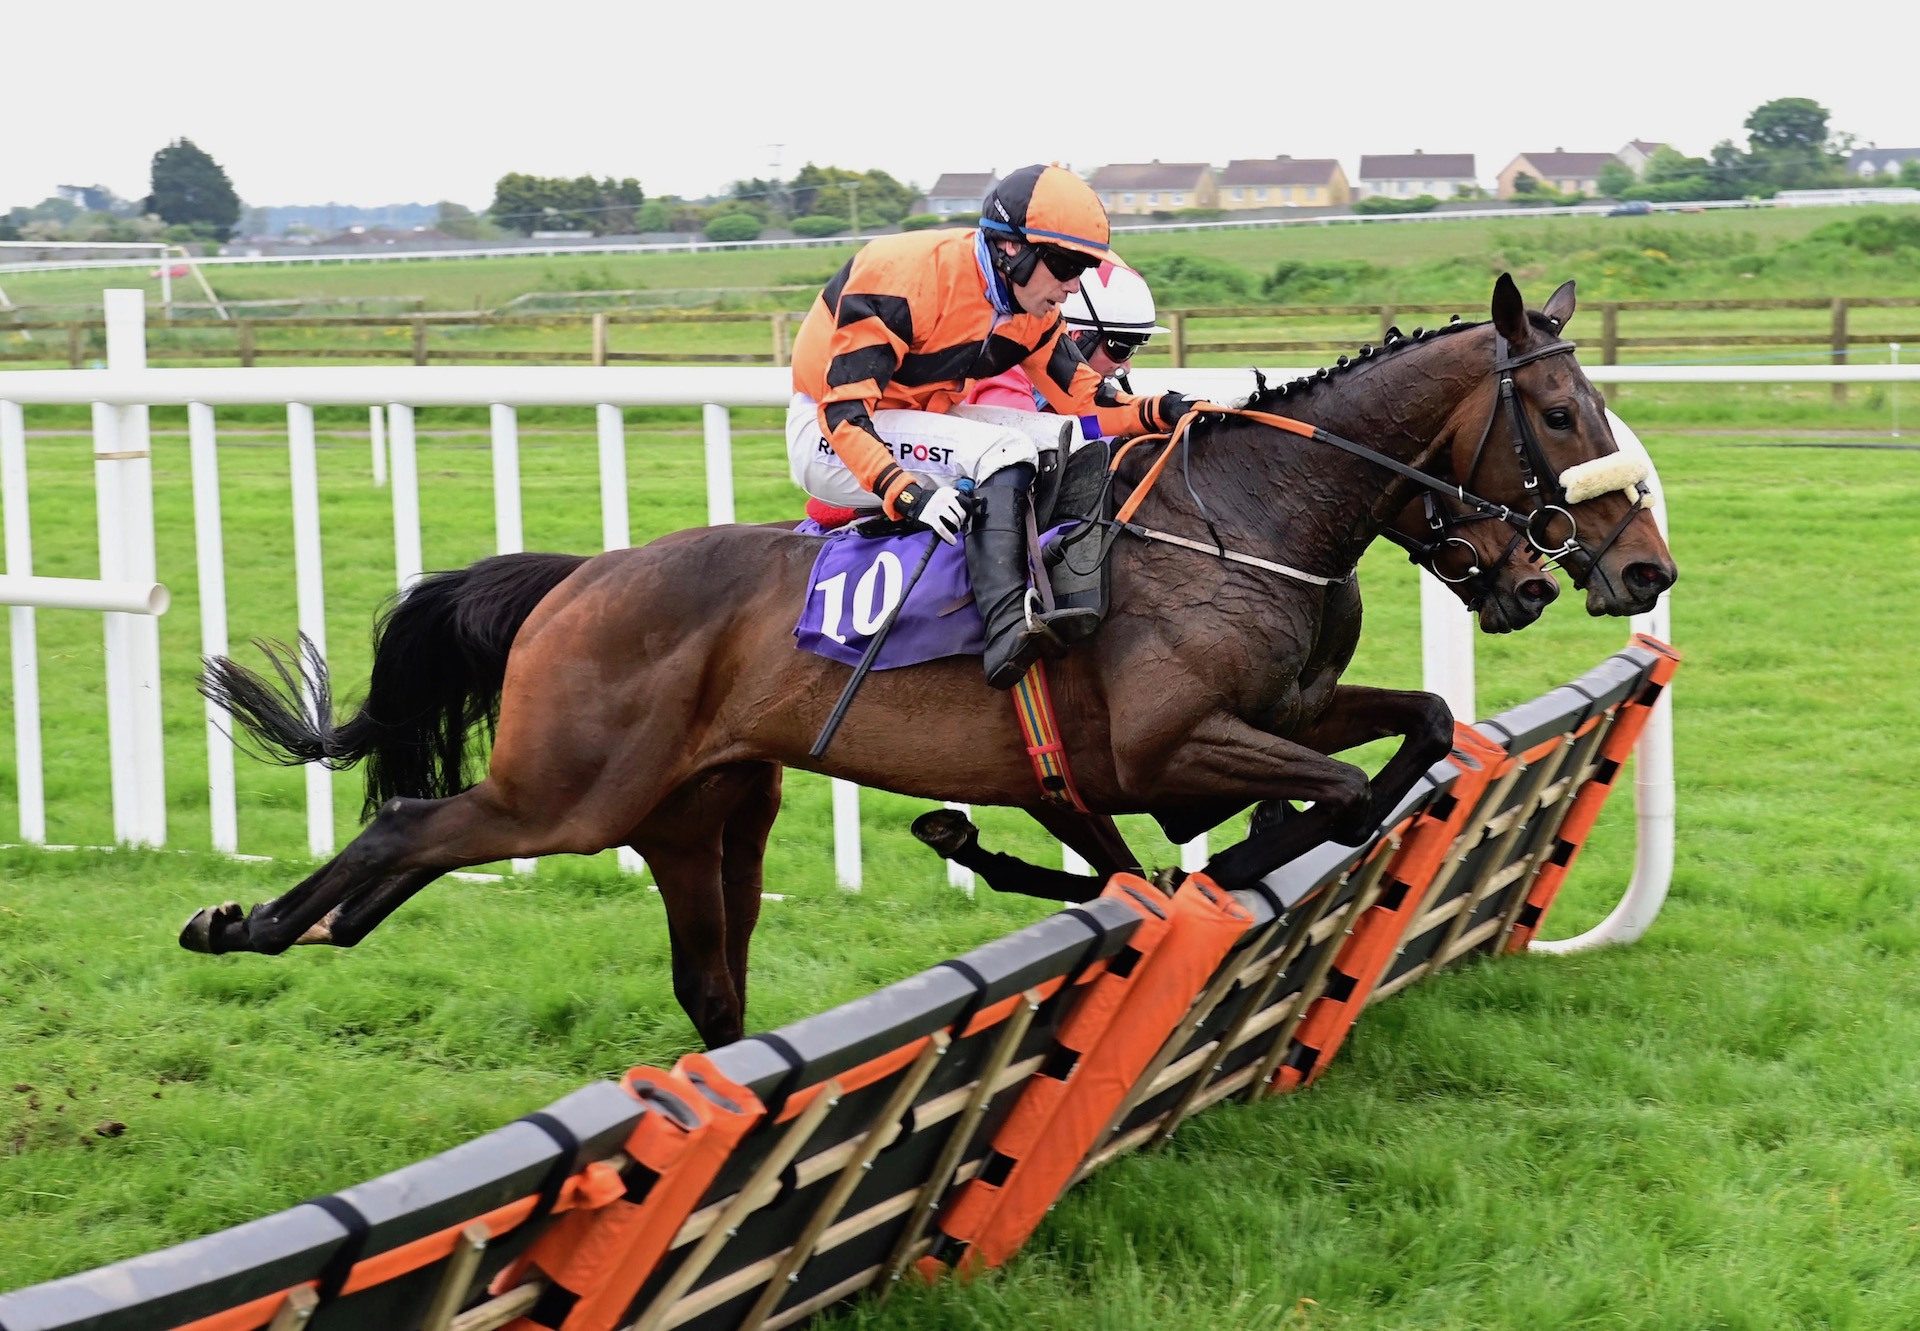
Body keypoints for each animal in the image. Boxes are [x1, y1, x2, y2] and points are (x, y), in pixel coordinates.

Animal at [187, 274, 1674, 1052]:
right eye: (1559, 411)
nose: (1636, 570)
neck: (1243, 517)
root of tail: (582, 577)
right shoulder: (1160, 747)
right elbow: (1326, 793)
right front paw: (1227, 864)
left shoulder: (1285, 708)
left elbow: (1413, 727)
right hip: (575, 790)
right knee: (417, 819)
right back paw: (250, 921)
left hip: (698, 811)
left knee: (692, 973)